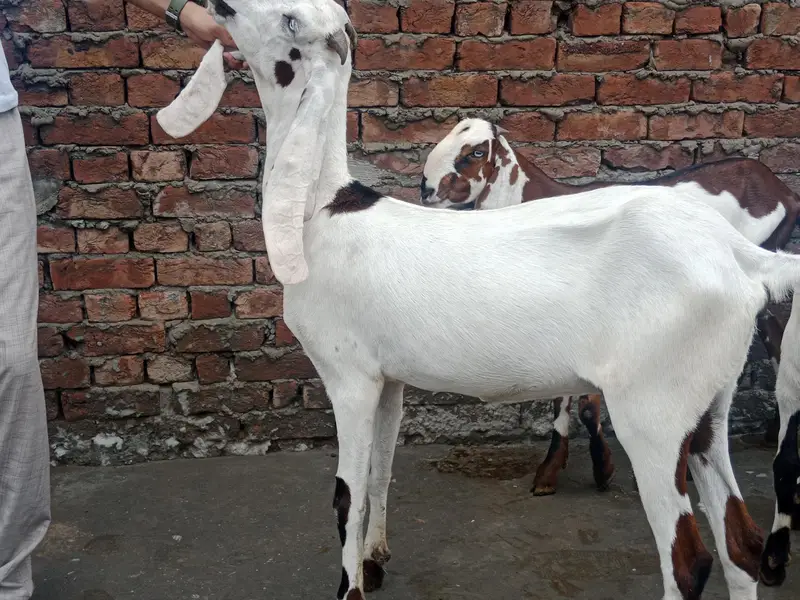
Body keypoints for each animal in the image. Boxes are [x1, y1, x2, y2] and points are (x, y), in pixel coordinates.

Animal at [423, 118, 800, 586]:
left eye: (475, 152)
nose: (425, 188)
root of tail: (782, 191)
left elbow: (578, 402)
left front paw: (583, 467)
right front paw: (570, 467)